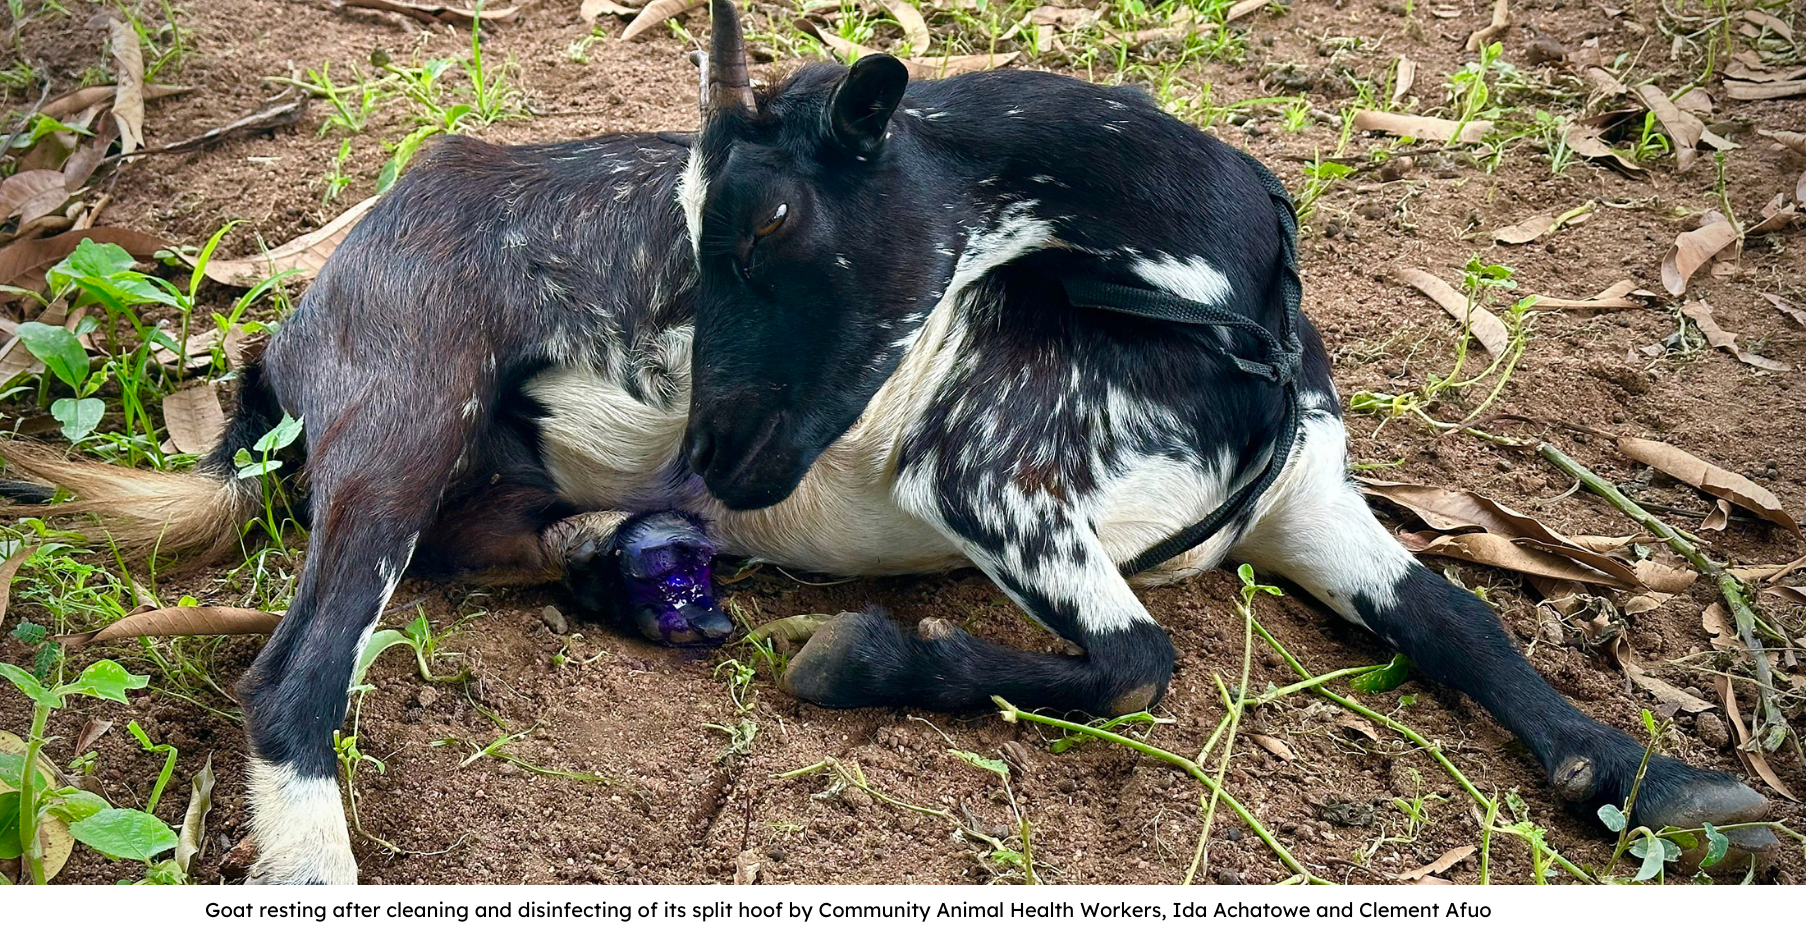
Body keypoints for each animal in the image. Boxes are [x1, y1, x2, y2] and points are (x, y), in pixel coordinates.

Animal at [0, 0, 1773, 883]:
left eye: (771, 223)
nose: (715, 457)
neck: (1227, 334)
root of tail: (292, 327)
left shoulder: (1306, 507)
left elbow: (1463, 618)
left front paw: (1662, 781)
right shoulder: (990, 475)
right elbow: (1141, 666)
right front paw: (858, 657)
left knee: (484, 556)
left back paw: (624, 566)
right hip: (406, 407)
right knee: (295, 669)